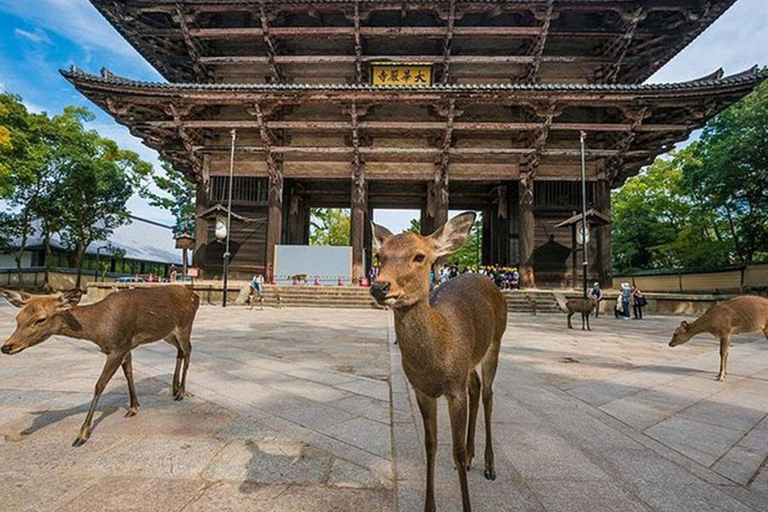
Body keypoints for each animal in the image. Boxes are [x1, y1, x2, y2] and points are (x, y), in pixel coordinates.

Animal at [0, 286, 198, 446]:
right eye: (18, 318)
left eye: (41, 319)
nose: (6, 347)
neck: (99, 329)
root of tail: (194, 295)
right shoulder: (125, 347)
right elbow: (128, 373)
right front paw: (134, 407)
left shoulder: (118, 348)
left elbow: (99, 385)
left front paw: (82, 435)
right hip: (167, 333)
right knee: (180, 351)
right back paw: (174, 388)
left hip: (184, 326)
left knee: (188, 350)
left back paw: (181, 392)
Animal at [368, 212, 508, 512]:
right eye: (379, 255)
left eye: (419, 256)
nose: (379, 286)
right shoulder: (422, 390)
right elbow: (430, 445)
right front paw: (429, 505)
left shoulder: (454, 390)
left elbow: (454, 451)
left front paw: (467, 504)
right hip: (469, 362)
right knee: (476, 387)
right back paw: (473, 457)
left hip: (496, 340)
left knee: (489, 394)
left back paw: (489, 465)